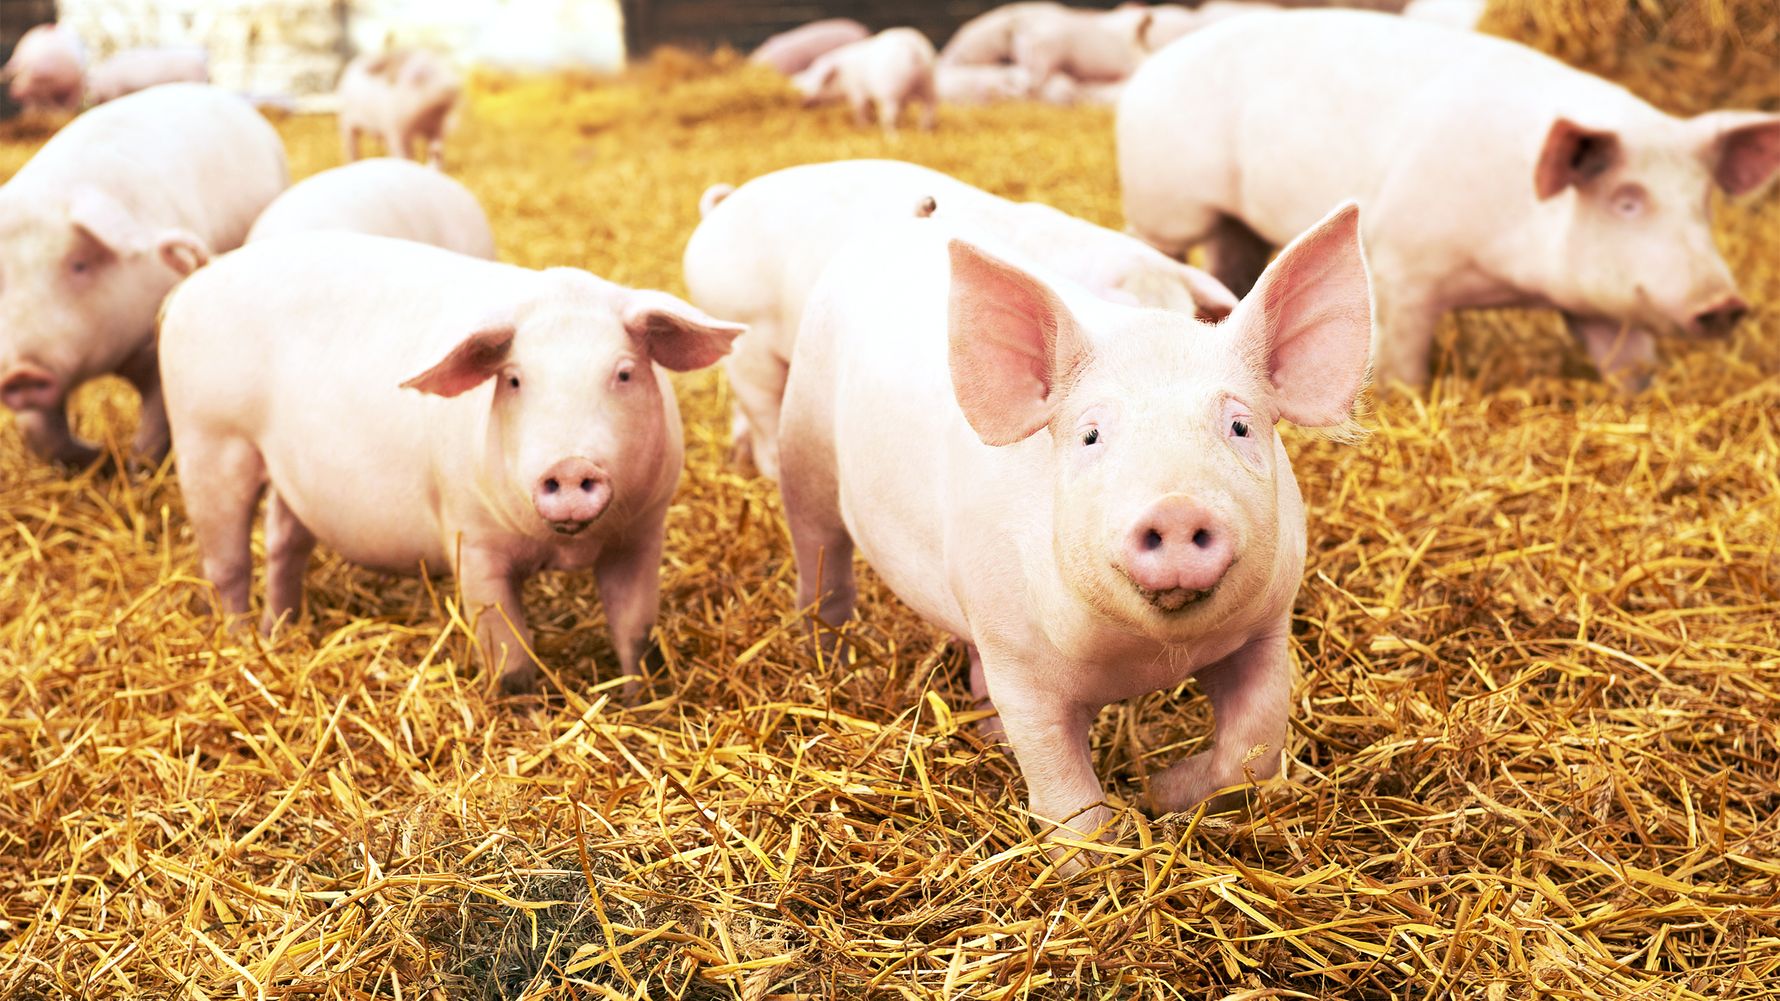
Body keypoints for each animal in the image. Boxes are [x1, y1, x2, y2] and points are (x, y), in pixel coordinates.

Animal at [0, 83, 287, 469]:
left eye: (79, 264)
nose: (21, 373)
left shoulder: (156, 348)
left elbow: (152, 426)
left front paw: (137, 468)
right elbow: (40, 433)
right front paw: (93, 454)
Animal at [158, 232, 743, 695]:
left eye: (623, 373)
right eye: (514, 379)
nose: (571, 465)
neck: (565, 548)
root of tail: (204, 272)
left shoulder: (643, 532)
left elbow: (635, 633)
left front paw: (642, 704)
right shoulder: (470, 538)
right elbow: (509, 655)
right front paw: (526, 718)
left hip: (289, 471)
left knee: (284, 543)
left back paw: (279, 633)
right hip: (209, 440)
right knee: (228, 563)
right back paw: (240, 644)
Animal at [777, 203, 1372, 863]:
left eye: (1240, 426)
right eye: (1090, 436)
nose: (1175, 506)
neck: (1146, 660)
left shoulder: (1268, 626)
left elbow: (1254, 747)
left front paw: (1159, 790)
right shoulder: (1019, 661)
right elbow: (1065, 790)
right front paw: (1095, 851)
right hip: (802, 450)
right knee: (822, 565)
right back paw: (827, 656)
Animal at [791, 28, 939, 138]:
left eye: (812, 73)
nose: (801, 98)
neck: (844, 76)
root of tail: (913, 51)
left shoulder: (857, 91)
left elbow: (860, 108)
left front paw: (862, 126)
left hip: (892, 92)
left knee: (891, 117)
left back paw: (892, 137)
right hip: (929, 83)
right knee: (929, 108)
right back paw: (924, 133)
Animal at [1119, 10, 1780, 391]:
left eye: (1703, 201)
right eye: (1626, 200)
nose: (1724, 304)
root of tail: (1155, 60)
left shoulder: (1597, 304)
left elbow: (1630, 362)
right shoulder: (1404, 268)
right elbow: (1403, 364)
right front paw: (1400, 396)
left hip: (1236, 222)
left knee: (1232, 263)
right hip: (1163, 205)